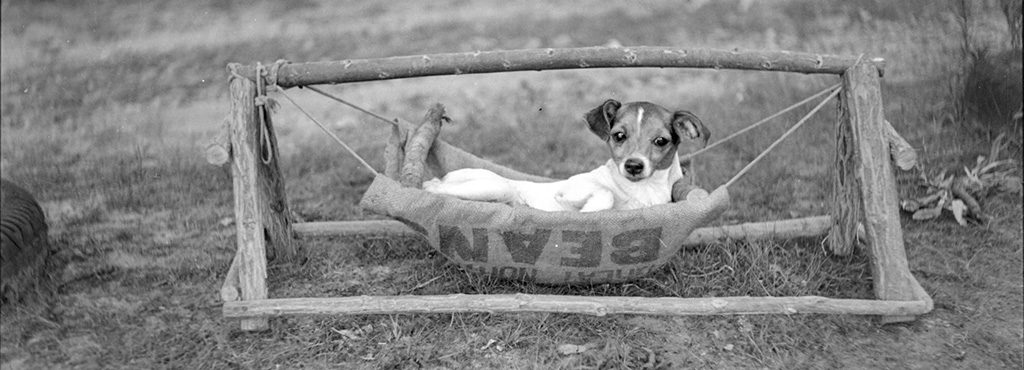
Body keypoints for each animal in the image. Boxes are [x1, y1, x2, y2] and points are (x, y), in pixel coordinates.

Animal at [423, 99, 712, 212]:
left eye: (660, 141)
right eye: (619, 136)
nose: (633, 166)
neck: (641, 190)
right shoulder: (574, 187)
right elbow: (603, 194)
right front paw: (587, 208)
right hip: (493, 185)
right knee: (432, 187)